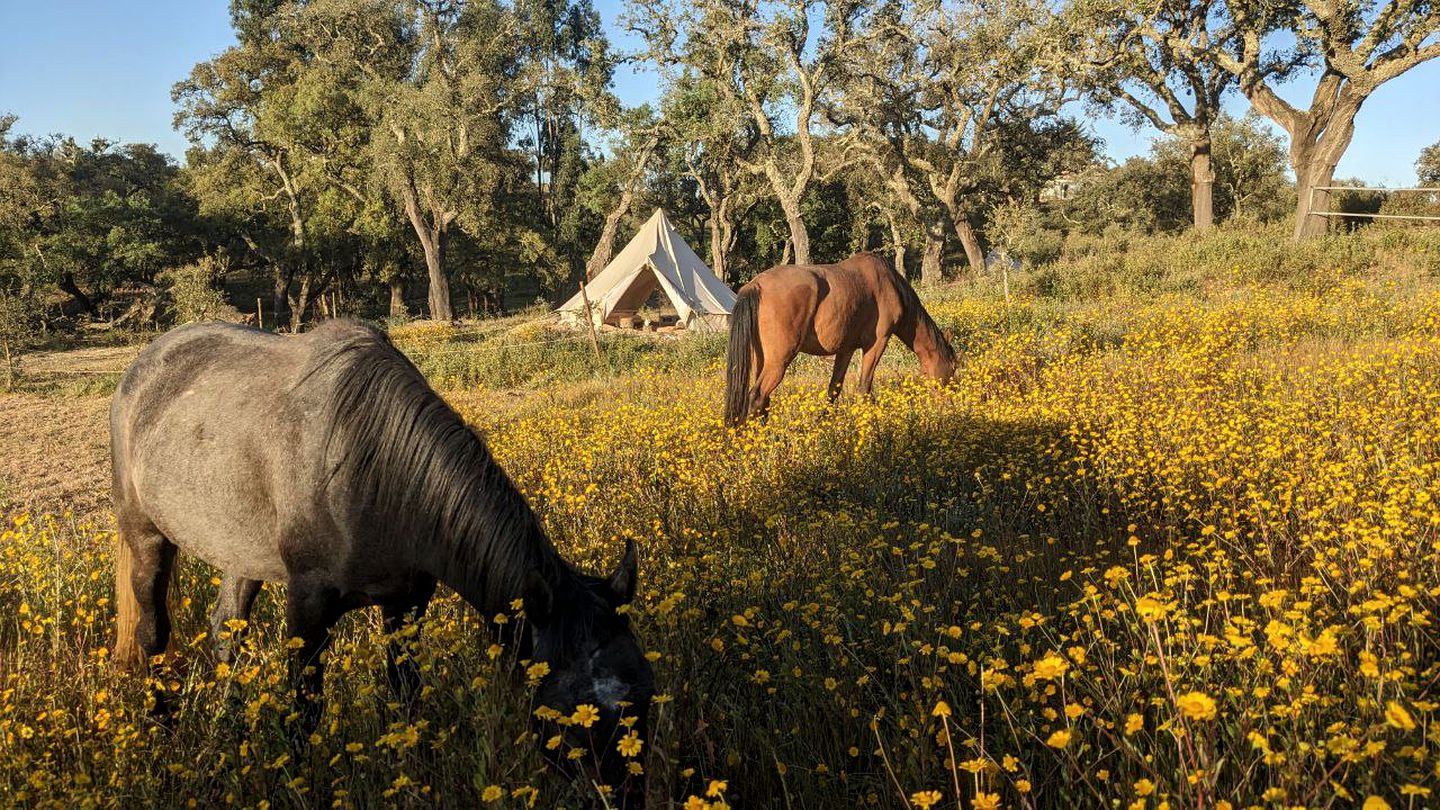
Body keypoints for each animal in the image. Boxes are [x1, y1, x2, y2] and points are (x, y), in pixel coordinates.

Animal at [112, 318, 653, 801]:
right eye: (567, 710)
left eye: (643, 692)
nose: (622, 796)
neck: (370, 469)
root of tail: (144, 365)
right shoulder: (309, 607)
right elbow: (305, 708)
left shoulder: (406, 604)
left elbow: (405, 694)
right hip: (147, 537)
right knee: (154, 632)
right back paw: (164, 734)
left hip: (240, 552)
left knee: (226, 630)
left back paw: (230, 735)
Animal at [720, 250, 956, 426]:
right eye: (953, 368)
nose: (950, 403)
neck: (889, 285)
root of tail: (755, 285)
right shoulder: (877, 343)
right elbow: (864, 387)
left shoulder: (846, 349)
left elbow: (834, 389)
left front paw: (822, 423)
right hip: (778, 361)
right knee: (758, 397)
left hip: (762, 359)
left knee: (763, 400)